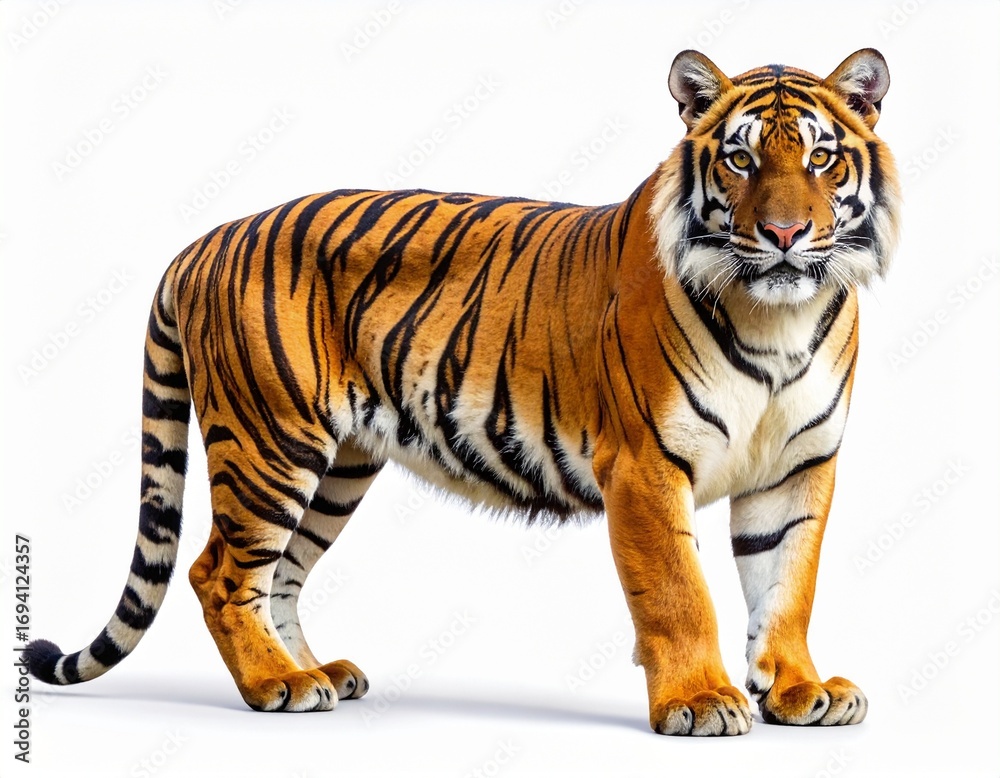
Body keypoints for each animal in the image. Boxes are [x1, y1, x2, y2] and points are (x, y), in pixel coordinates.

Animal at [26, 47, 900, 736]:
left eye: (821, 159)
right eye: (741, 160)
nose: (785, 235)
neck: (778, 317)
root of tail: (203, 239)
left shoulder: (798, 468)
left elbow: (787, 585)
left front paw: (799, 690)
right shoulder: (646, 466)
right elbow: (679, 594)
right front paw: (702, 700)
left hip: (340, 465)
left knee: (283, 573)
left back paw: (316, 673)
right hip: (270, 442)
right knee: (220, 572)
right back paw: (276, 683)